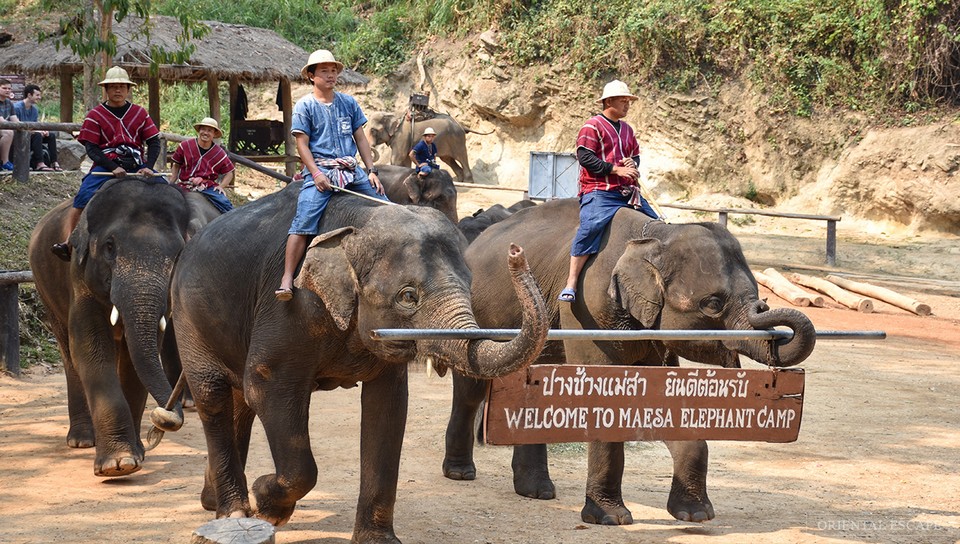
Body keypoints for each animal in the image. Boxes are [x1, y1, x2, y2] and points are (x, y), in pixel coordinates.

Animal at [27, 178, 220, 477]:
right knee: (69, 354)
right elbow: (90, 348)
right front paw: (117, 465)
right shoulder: (79, 274)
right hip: (44, 287)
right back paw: (82, 439)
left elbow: (134, 357)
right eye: (109, 246)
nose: (165, 419)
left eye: (178, 252)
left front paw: (135, 454)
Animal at [169, 183, 549, 543]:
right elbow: (265, 386)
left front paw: (379, 541)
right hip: (187, 317)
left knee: (238, 402)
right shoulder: (288, 307)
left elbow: (388, 406)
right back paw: (233, 512)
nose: (516, 252)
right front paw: (267, 502)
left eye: (471, 285)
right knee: (213, 395)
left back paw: (213, 502)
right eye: (407, 296)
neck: (360, 223)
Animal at [443, 198, 817, 525]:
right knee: (472, 389)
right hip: (478, 314)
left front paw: (696, 514)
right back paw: (461, 473)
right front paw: (611, 519)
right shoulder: (585, 309)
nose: (765, 307)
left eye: (757, 292)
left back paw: (538, 492)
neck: (654, 235)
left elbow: (660, 400)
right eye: (712, 304)